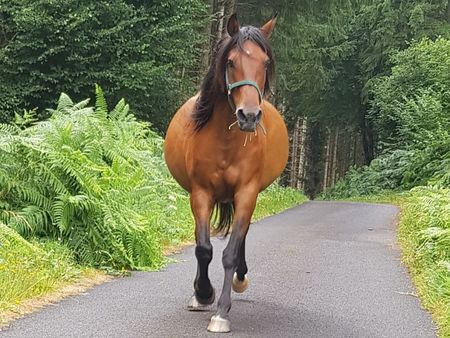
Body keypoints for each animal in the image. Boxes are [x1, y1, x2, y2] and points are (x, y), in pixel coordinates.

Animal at [164, 13, 288, 332]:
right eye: (231, 61)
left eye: (265, 63)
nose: (249, 116)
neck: (225, 140)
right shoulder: (200, 194)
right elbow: (203, 248)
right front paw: (203, 293)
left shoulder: (247, 192)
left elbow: (230, 251)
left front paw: (221, 312)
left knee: (241, 236)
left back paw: (240, 278)